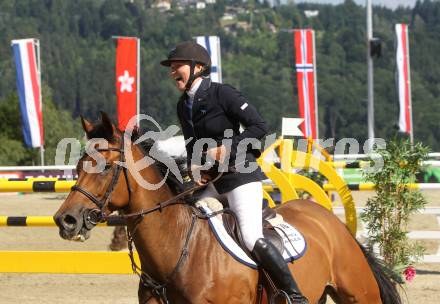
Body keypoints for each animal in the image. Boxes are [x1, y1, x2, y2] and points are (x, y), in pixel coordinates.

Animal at [54, 112, 402, 304]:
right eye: (79, 166)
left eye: (106, 167)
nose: (65, 220)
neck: (178, 250)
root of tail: (330, 221)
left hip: (359, 294)